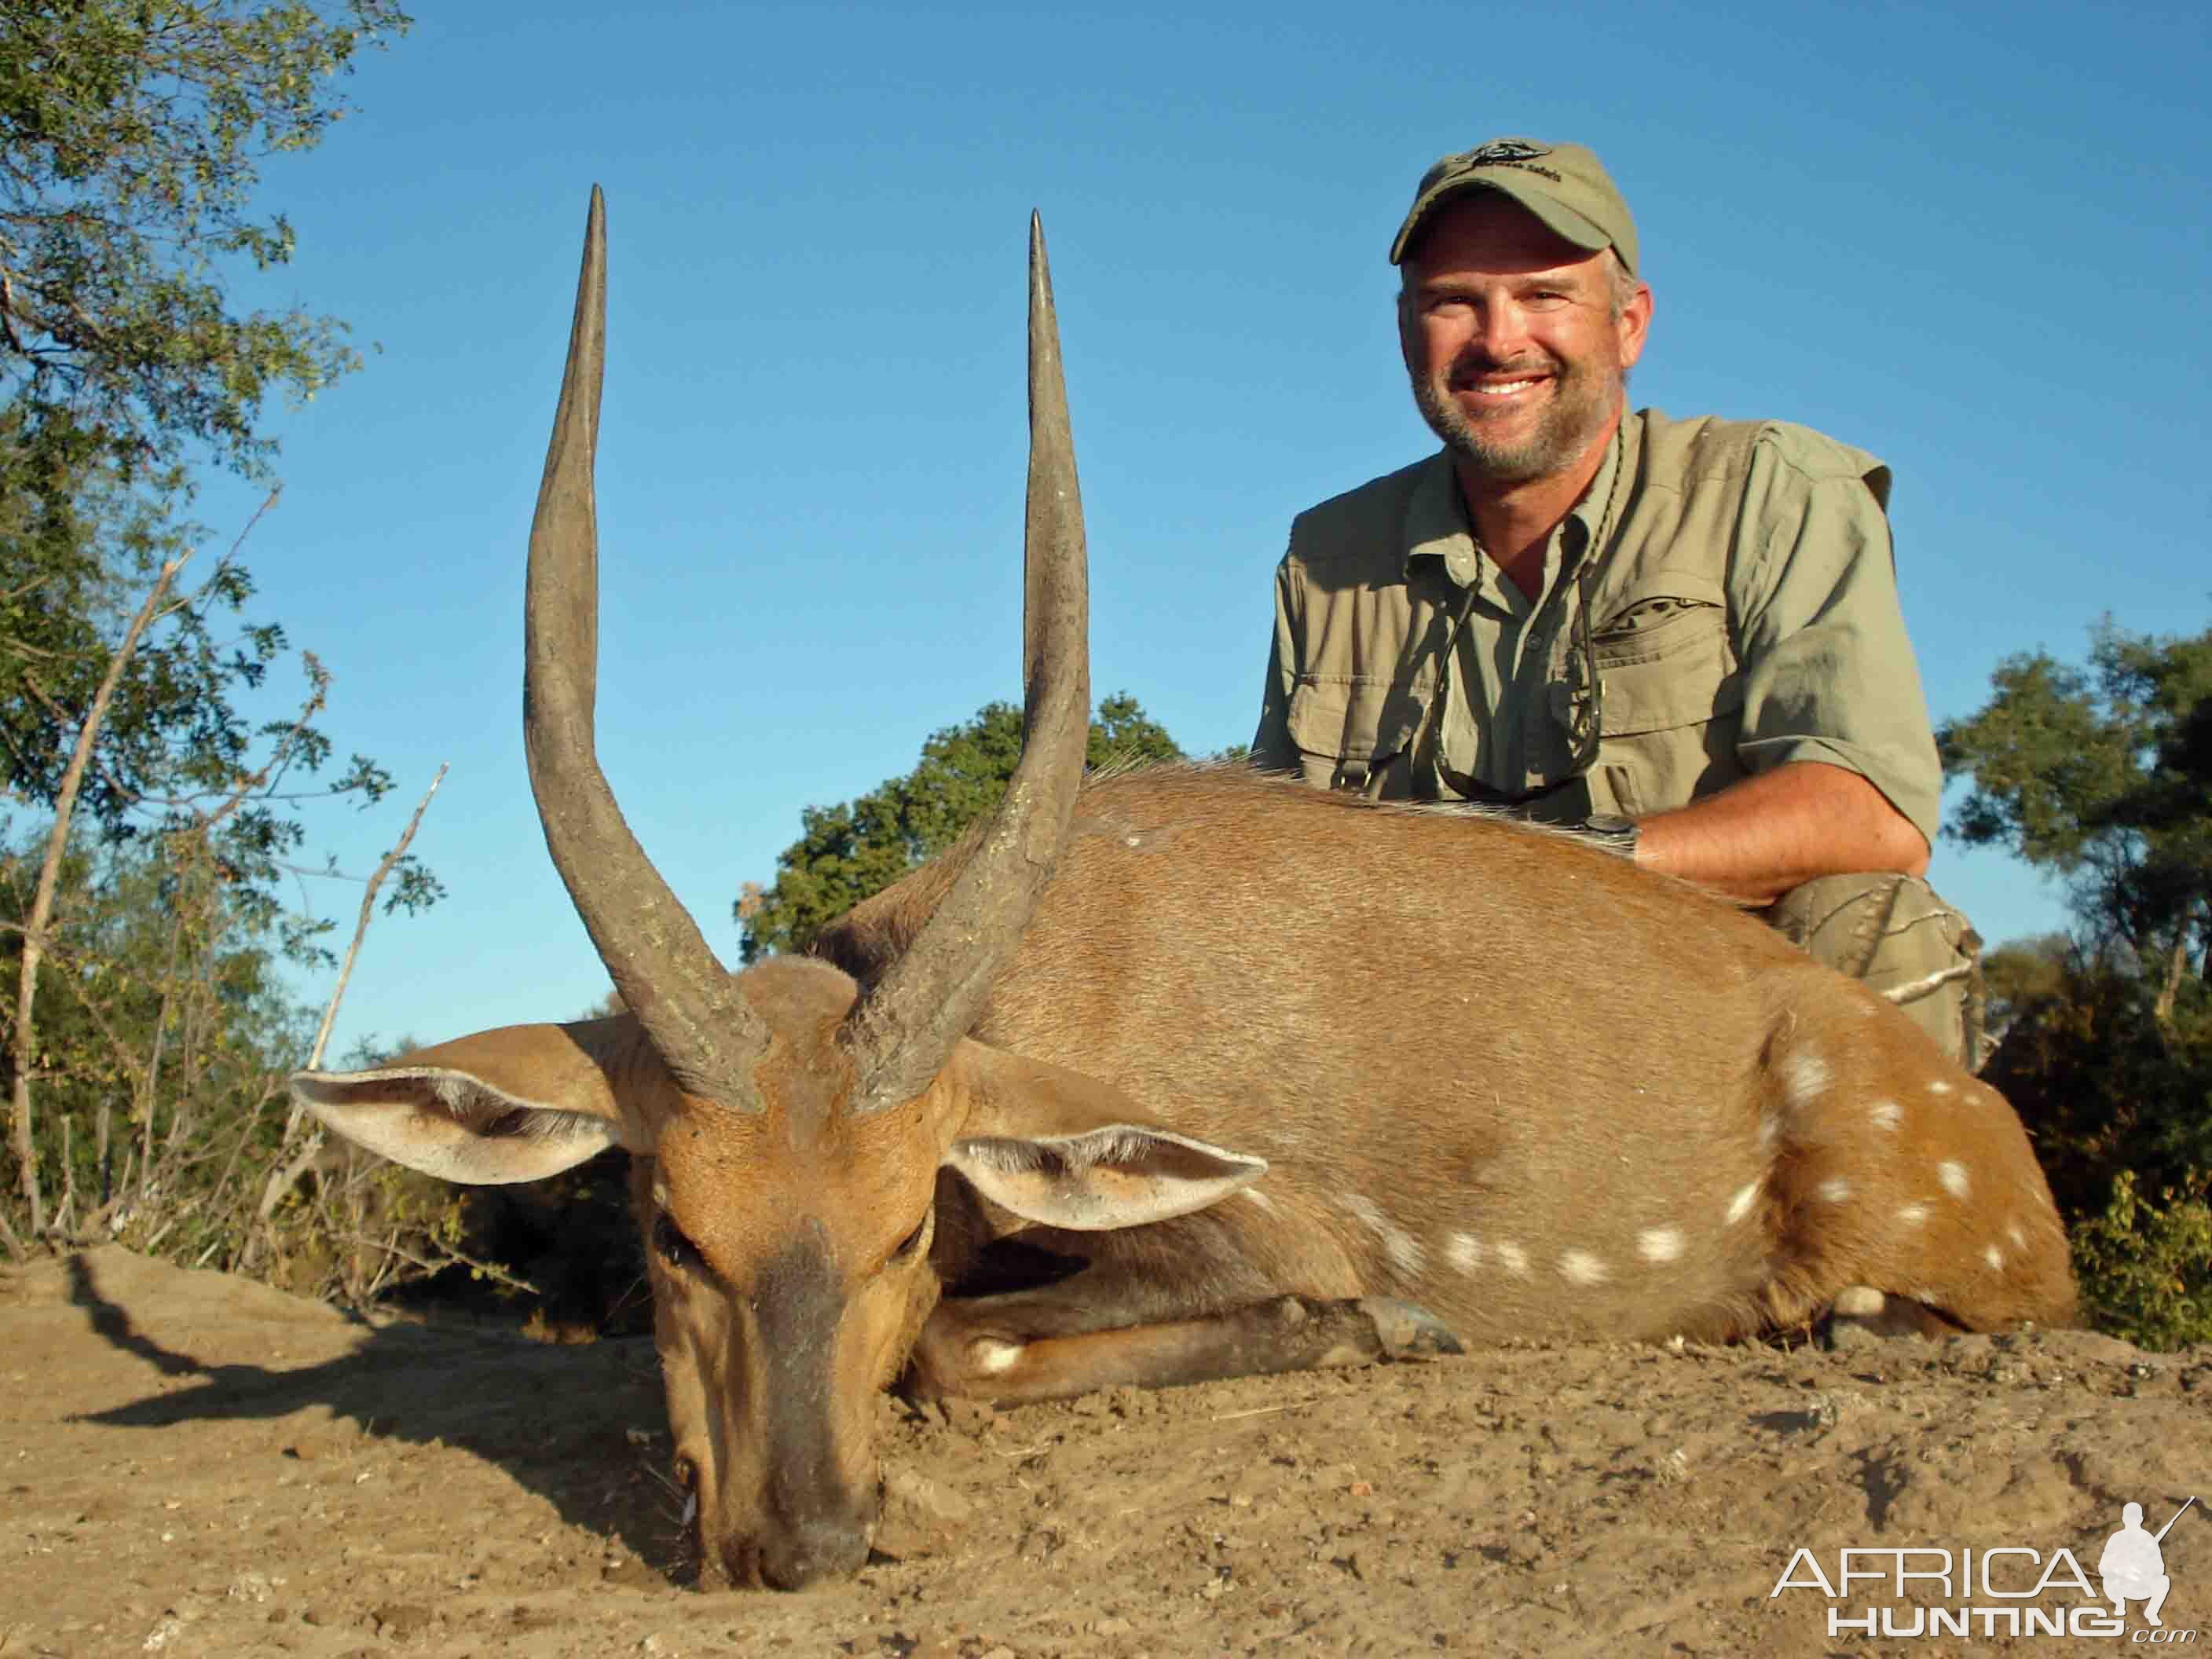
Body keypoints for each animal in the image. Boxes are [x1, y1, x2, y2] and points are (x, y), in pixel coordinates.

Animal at [294, 191, 2070, 1601]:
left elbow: (966, 1345)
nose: (797, 1543)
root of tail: (1981, 1126)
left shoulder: (1256, 1220)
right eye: (674, 1229)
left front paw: (1394, 1329)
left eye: (900, 1228)